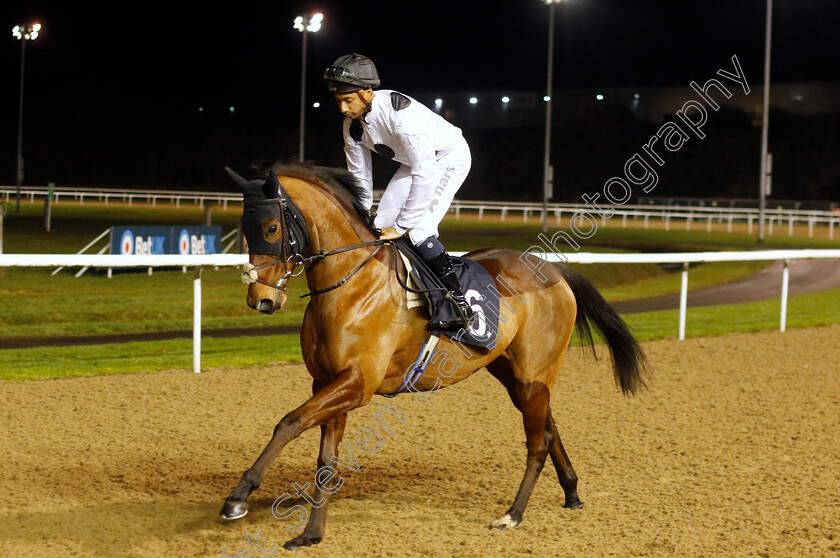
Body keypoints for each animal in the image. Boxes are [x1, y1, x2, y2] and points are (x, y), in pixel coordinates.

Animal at [220, 164, 648, 552]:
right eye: (244, 228)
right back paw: (571, 492)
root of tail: (554, 269)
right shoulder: (327, 381)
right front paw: (310, 534)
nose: (261, 300)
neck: (351, 284)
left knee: (537, 441)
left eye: (271, 229)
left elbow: (289, 422)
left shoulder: (357, 383)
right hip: (513, 373)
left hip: (534, 372)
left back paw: (513, 514)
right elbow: (325, 459)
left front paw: (239, 497)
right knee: (549, 426)